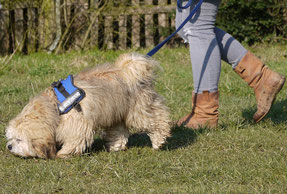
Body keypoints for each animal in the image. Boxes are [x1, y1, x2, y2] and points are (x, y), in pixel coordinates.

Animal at [5, 52, 171, 158]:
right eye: (11, 138)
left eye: (19, 139)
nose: (9, 146)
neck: (55, 106)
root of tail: (127, 70)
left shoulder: (77, 123)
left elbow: (76, 138)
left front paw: (63, 153)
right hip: (116, 111)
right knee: (119, 129)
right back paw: (116, 146)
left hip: (138, 110)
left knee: (158, 120)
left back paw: (159, 140)